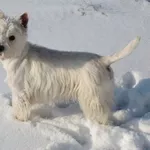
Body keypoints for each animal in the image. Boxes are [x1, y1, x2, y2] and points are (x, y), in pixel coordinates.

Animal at [0, 11, 140, 124]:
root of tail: (103, 60)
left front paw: (18, 121)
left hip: (93, 95)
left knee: (101, 114)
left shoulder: (20, 92)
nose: (1, 47)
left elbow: (20, 109)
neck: (19, 56)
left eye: (12, 37)